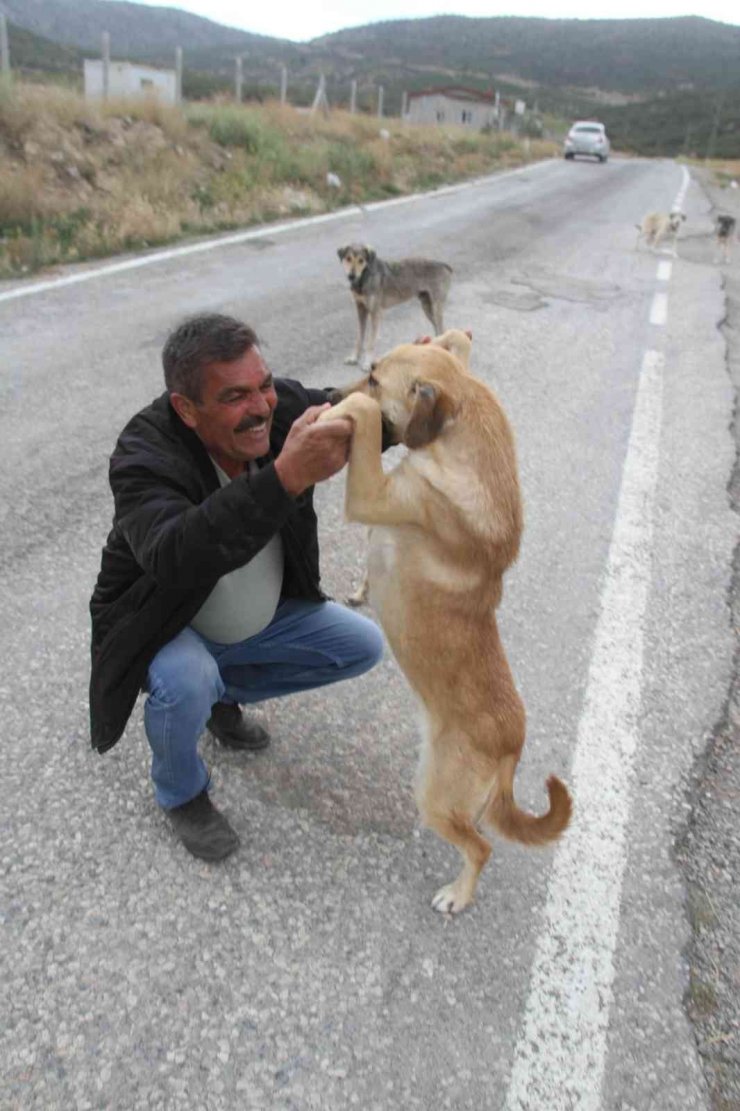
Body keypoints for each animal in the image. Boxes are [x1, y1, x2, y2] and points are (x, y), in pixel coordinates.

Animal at [317, 326, 568, 911]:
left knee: (481, 846)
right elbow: (455, 345)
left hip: (433, 796)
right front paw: (450, 337)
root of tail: (511, 745)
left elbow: (368, 423)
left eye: (374, 377)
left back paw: (457, 895)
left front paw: (357, 409)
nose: (328, 396)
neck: (457, 442)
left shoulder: (372, 495)